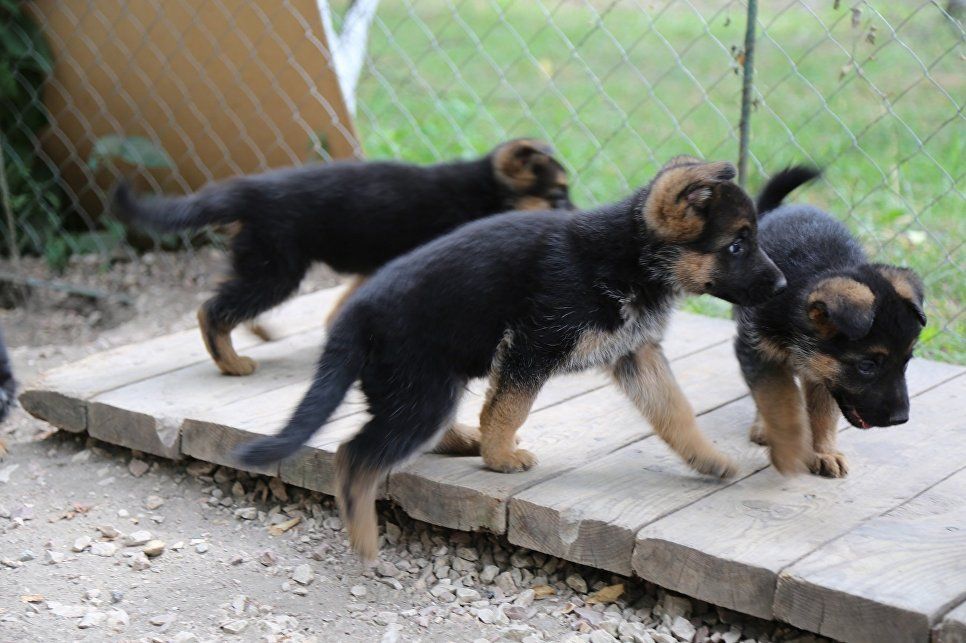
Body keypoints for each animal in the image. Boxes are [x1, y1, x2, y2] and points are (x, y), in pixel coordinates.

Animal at [113, 137, 572, 378]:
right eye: (559, 196)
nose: (578, 215)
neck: (484, 191)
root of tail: (249, 191)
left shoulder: (383, 266)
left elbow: (345, 302)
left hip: (262, 262)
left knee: (230, 299)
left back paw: (257, 333)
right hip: (277, 269)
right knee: (211, 309)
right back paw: (232, 362)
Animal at [740, 166, 932, 478]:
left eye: (906, 363)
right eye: (866, 366)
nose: (900, 419)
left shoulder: (824, 372)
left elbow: (823, 410)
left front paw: (823, 452)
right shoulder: (755, 347)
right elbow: (774, 395)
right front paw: (787, 446)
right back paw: (762, 428)